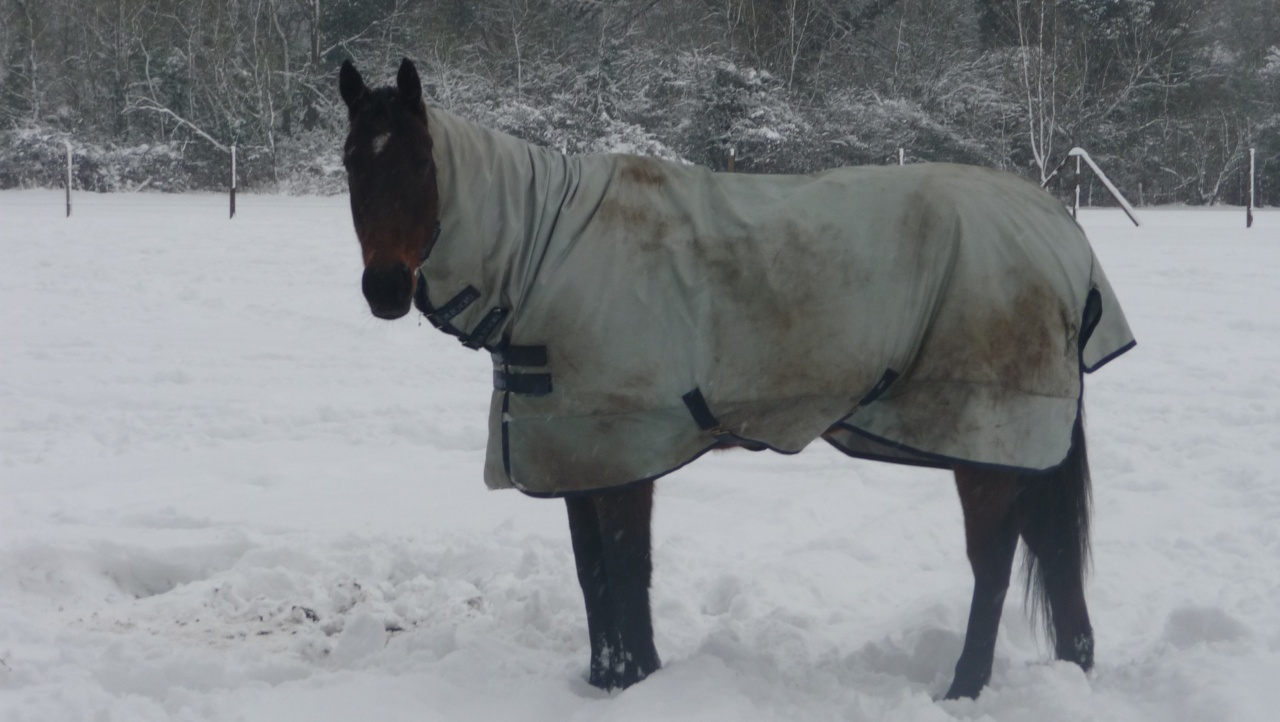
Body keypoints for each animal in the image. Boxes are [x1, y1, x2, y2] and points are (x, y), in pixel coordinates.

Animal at [335, 59, 1136, 701]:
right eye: (350, 163)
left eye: (419, 163)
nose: (384, 290)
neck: (546, 250)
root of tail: (1061, 231)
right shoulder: (577, 453)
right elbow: (593, 575)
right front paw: (606, 681)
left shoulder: (623, 453)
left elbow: (626, 572)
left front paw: (638, 679)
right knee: (1052, 554)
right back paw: (1072, 665)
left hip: (986, 441)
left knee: (994, 568)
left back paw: (964, 689)